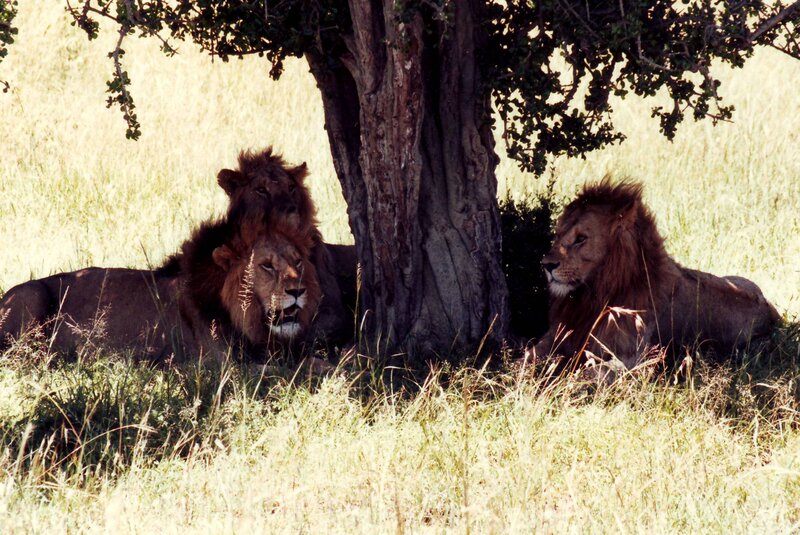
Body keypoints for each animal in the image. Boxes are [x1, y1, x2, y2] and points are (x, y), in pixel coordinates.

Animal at [533, 179, 780, 372]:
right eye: (558, 235)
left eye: (581, 239)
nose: (546, 265)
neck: (592, 295)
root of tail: (769, 307)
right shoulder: (558, 334)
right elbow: (530, 355)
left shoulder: (632, 358)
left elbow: (586, 374)